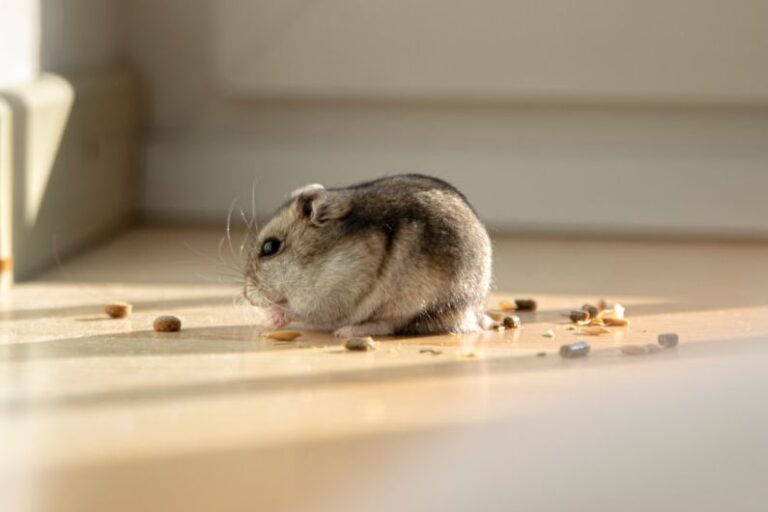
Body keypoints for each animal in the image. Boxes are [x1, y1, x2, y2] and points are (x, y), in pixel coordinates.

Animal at [244, 174, 492, 338]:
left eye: (270, 247)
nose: (248, 297)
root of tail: (474, 310)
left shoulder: (335, 292)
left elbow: (298, 310)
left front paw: (272, 316)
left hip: (415, 303)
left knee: (388, 325)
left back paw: (347, 331)